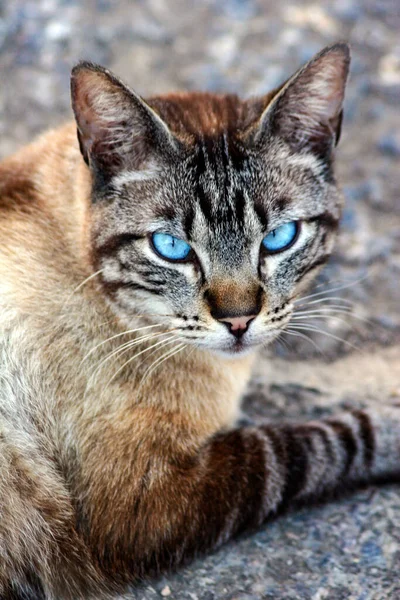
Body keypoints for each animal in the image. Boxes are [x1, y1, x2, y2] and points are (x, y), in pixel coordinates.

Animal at [0, 43, 400, 600]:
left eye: (279, 238)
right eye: (171, 247)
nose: (239, 321)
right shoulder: (143, 504)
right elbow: (307, 444)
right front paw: (392, 425)